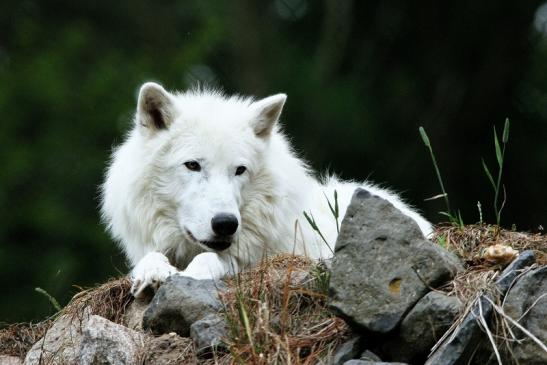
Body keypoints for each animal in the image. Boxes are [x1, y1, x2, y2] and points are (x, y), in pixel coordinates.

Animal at [101, 82, 432, 296]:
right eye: (192, 165)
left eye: (239, 170)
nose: (226, 224)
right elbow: (150, 258)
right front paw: (152, 272)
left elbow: (212, 259)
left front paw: (193, 272)